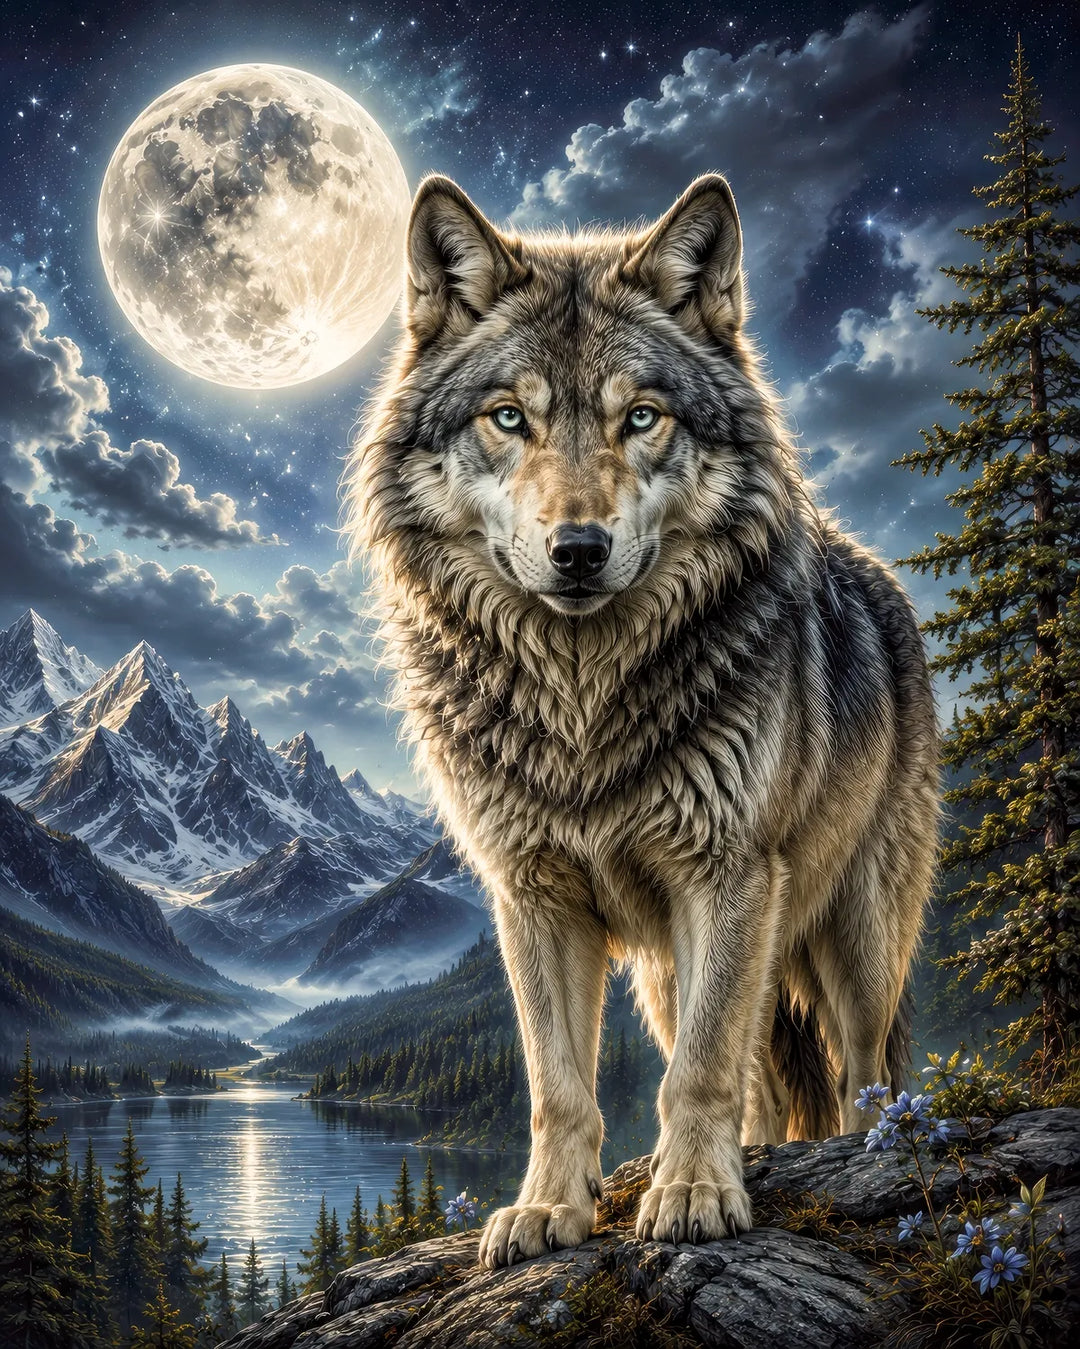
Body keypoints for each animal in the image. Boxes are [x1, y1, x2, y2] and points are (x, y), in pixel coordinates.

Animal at [345, 173, 939, 1268]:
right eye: (508, 417)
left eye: (642, 417)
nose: (578, 548)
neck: (584, 700)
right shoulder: (532, 895)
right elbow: (559, 1085)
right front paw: (548, 1209)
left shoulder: (730, 873)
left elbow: (700, 1071)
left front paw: (697, 1192)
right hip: (671, 974)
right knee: (759, 1077)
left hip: (855, 935)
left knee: (860, 1069)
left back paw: (858, 1151)